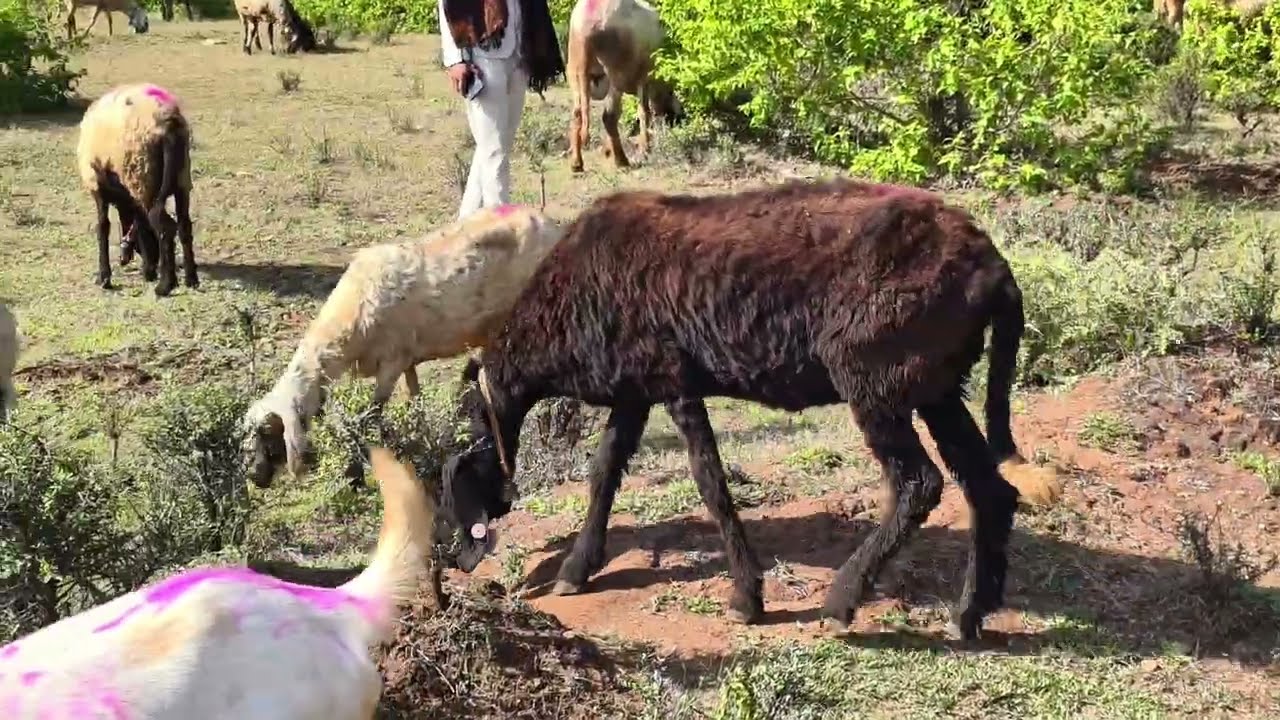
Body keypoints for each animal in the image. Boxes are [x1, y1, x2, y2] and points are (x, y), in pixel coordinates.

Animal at [76, 82, 199, 297]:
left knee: (166, 226)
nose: (151, 271)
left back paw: (165, 286)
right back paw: (191, 279)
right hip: (180, 180)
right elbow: (141, 225)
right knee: (184, 225)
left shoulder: (97, 185)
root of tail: (168, 123)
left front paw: (104, 277)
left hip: (143, 179)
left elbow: (103, 227)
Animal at [242, 203, 565, 490]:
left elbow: (371, 416)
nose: (256, 479)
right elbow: (415, 402)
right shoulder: (408, 359)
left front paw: (358, 473)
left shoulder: (392, 362)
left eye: (267, 434)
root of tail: (550, 223)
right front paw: (427, 446)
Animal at [439, 178, 1064, 642]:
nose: (459, 562)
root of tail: (995, 267)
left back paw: (842, 603)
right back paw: (971, 614)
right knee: (989, 490)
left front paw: (746, 596)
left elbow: (710, 484)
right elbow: (604, 473)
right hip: (936, 388)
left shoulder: (673, 382)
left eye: (462, 472)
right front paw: (577, 569)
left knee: (919, 484)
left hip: (873, 382)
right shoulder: (636, 392)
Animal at [566, 0, 684, 173]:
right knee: (609, 116)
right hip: (616, 74)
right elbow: (644, 113)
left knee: (577, 114)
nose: (678, 118)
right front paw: (644, 149)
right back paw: (622, 161)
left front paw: (607, 150)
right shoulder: (644, 78)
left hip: (575, 72)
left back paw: (576, 163)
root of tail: (586, 25)